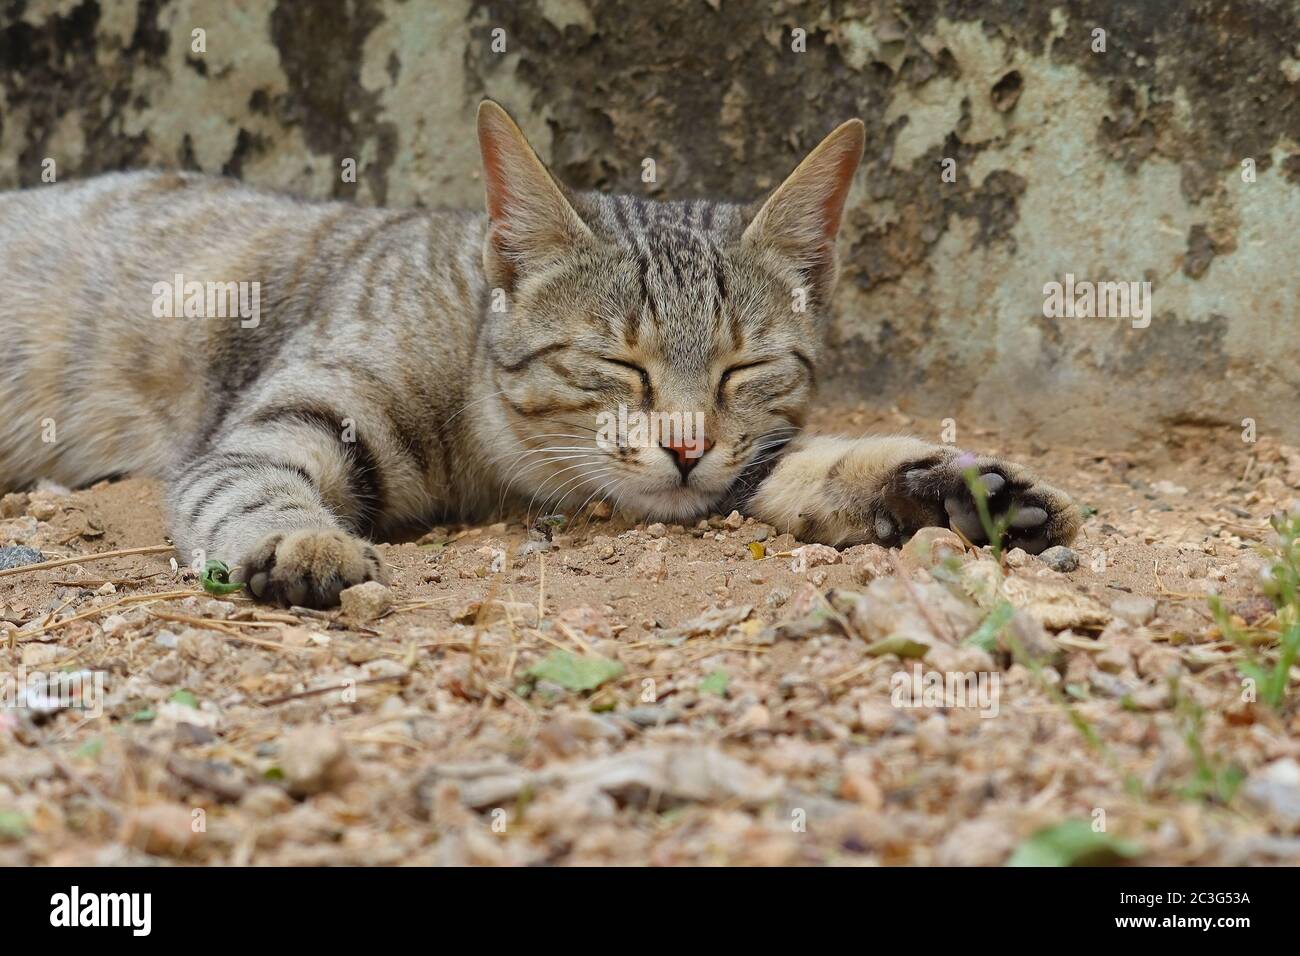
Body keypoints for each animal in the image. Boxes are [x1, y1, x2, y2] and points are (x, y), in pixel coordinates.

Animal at [0, 102, 1076, 606]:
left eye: (743, 369)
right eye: (619, 364)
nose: (685, 444)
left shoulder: (736, 458)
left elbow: (802, 464)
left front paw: (948, 487)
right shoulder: (270, 425)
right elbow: (252, 484)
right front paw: (299, 541)